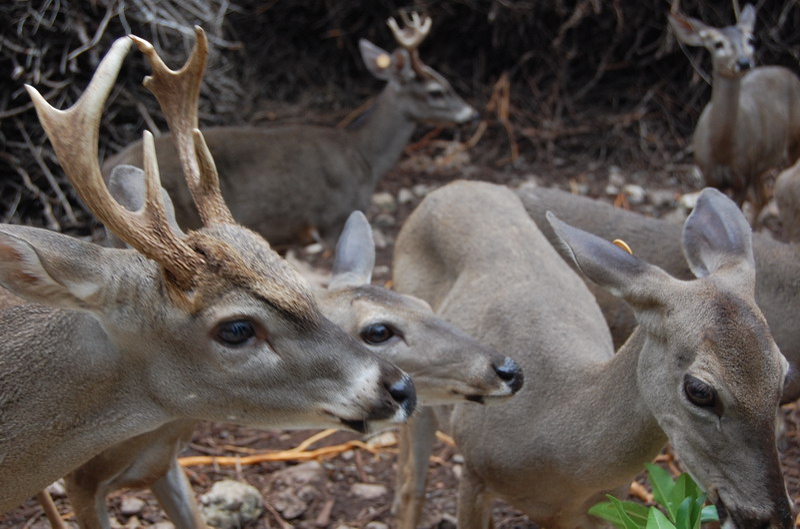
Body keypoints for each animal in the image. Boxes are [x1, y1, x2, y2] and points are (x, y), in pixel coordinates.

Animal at [390, 179, 792, 524]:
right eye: (700, 390)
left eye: (784, 372)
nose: (772, 518)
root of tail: (451, 187)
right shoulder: (474, 471)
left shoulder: (605, 504)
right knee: (412, 481)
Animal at [668, 4, 800, 220]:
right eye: (717, 44)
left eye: (749, 40)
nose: (744, 62)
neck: (723, 149)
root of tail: (787, 72)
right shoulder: (709, 174)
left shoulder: (742, 175)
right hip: (759, 165)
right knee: (761, 199)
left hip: (791, 144)